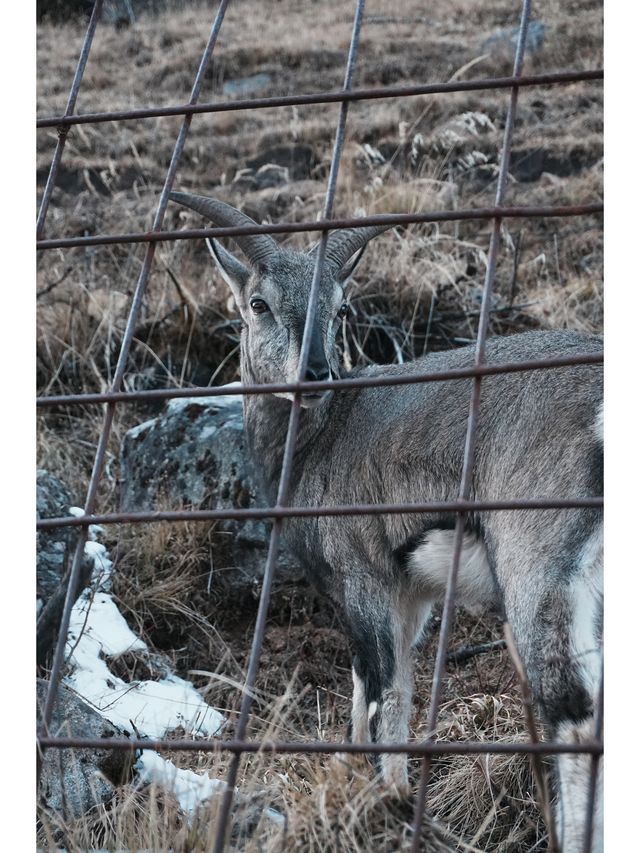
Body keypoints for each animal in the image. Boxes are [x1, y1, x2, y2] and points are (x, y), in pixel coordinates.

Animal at [169, 193, 600, 852]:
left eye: (339, 307)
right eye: (259, 303)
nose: (315, 372)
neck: (319, 440)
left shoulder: (367, 578)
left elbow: (381, 704)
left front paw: (385, 809)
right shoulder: (410, 595)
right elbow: (369, 703)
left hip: (542, 564)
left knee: (574, 716)